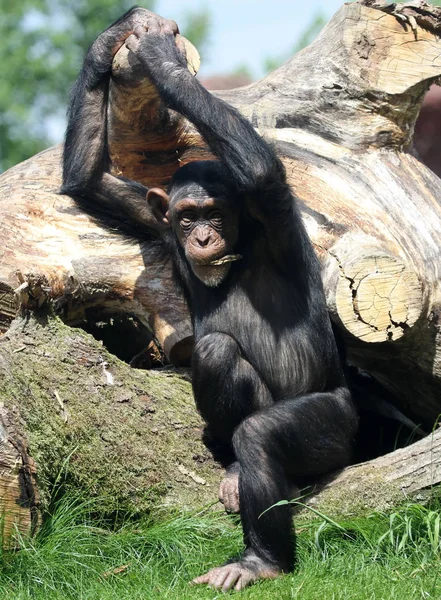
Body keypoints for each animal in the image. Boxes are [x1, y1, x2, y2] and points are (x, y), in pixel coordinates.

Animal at [61, 8, 358, 592]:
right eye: (186, 217)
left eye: (215, 214)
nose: (201, 238)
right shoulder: (150, 214)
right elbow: (88, 181)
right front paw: (121, 32)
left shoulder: (273, 212)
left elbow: (262, 171)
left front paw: (163, 60)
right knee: (216, 352)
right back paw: (234, 471)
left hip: (340, 426)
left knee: (262, 433)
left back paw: (261, 559)